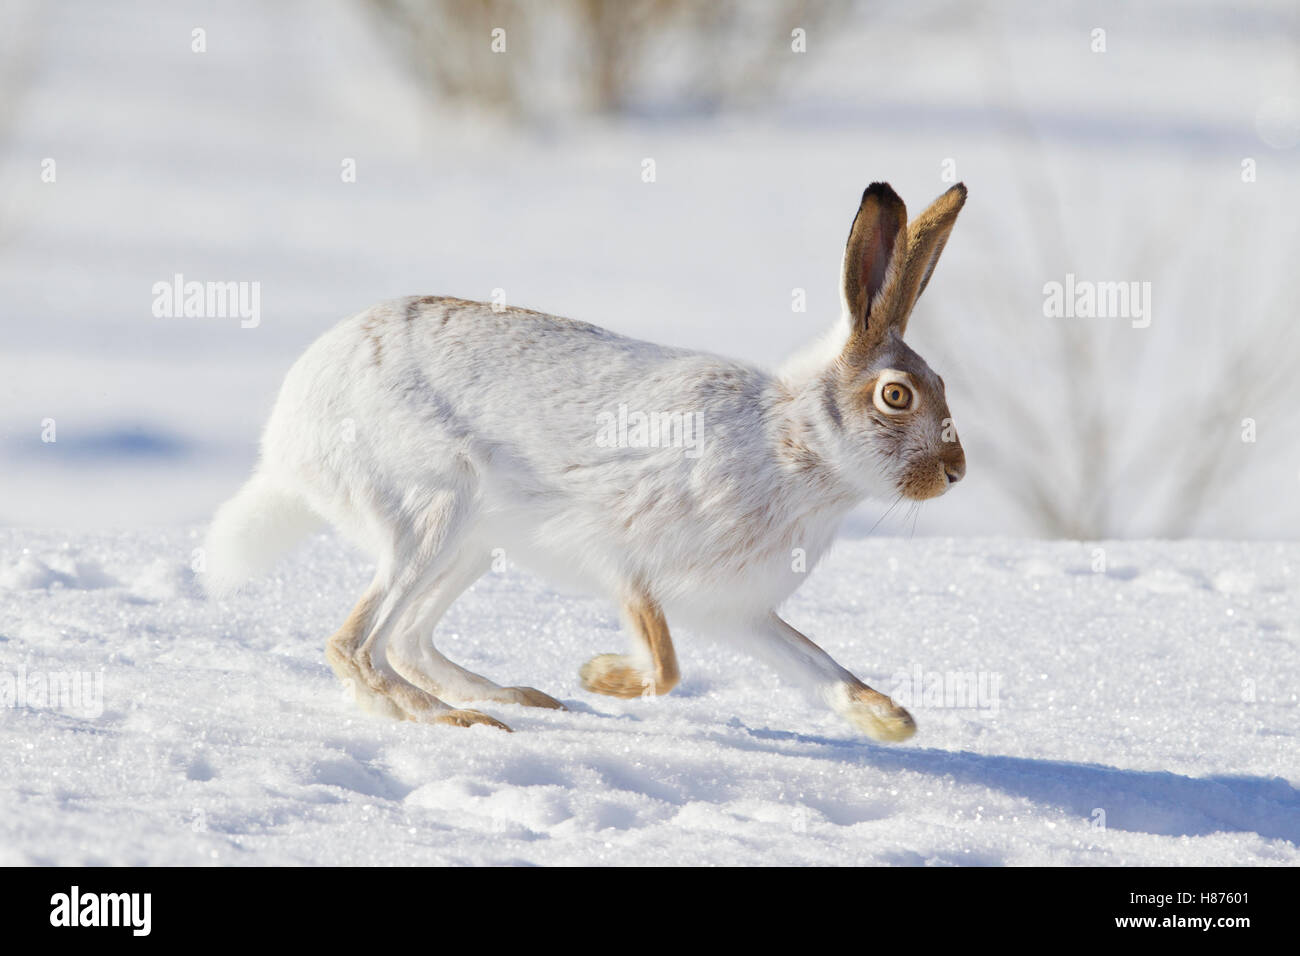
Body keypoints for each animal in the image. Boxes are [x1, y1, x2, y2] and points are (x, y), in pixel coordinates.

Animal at [203, 181, 968, 741]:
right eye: (896, 395)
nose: (956, 472)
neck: (794, 445)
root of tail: (289, 434)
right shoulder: (622, 556)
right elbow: (665, 666)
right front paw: (599, 676)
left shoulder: (737, 610)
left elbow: (818, 666)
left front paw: (894, 721)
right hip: (430, 516)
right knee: (355, 645)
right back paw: (453, 719)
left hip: (471, 543)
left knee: (407, 641)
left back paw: (516, 698)